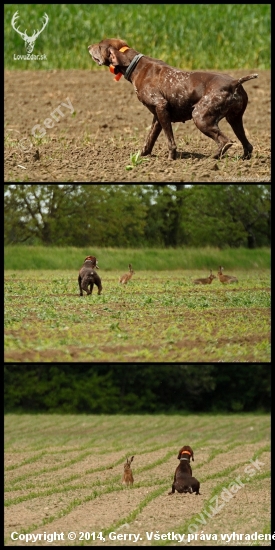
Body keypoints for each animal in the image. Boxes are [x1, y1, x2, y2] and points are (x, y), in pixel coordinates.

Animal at [89, 37, 258, 160]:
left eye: (99, 45)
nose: (89, 46)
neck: (135, 65)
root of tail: (235, 82)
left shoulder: (161, 106)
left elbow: (170, 141)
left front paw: (171, 158)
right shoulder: (157, 115)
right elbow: (149, 139)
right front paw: (141, 156)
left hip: (200, 117)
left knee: (225, 141)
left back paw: (213, 158)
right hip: (234, 119)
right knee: (247, 145)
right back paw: (244, 160)